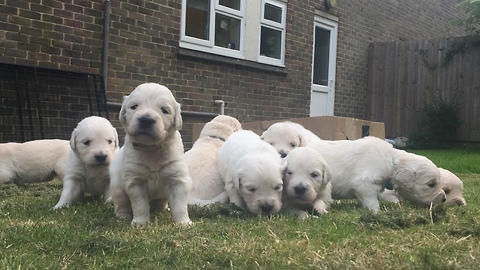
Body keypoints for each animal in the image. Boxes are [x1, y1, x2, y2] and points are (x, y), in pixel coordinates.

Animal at [109, 83, 192, 226]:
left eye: (164, 110)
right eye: (134, 106)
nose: (146, 120)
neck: (151, 149)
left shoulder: (177, 179)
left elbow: (180, 205)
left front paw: (183, 222)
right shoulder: (135, 181)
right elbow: (140, 205)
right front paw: (140, 222)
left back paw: (163, 208)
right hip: (117, 187)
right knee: (121, 203)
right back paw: (123, 216)